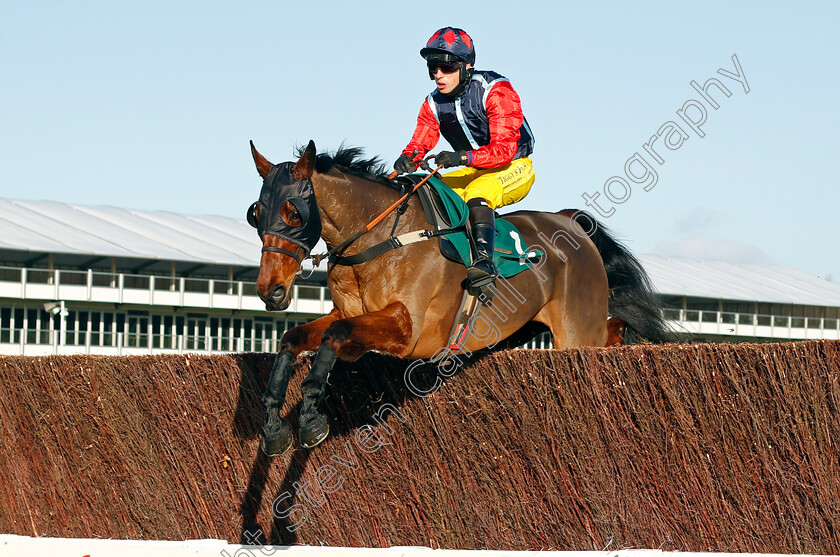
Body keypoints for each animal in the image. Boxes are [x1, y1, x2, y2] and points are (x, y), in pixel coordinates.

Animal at [246, 140, 672, 456]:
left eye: (294, 212)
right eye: (256, 213)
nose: (271, 291)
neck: (380, 239)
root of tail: (572, 222)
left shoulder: (407, 331)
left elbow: (334, 338)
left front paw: (311, 419)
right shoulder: (345, 315)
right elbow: (292, 339)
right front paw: (274, 427)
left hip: (576, 330)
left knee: (605, 336)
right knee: (614, 330)